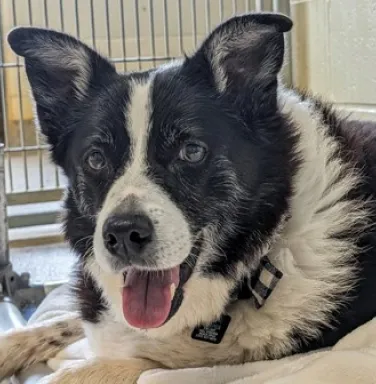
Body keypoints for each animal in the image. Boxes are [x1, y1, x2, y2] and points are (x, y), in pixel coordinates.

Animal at [0, 11, 376, 380]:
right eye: (95, 159)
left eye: (191, 151)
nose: (122, 234)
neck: (255, 266)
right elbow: (64, 322)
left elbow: (132, 362)